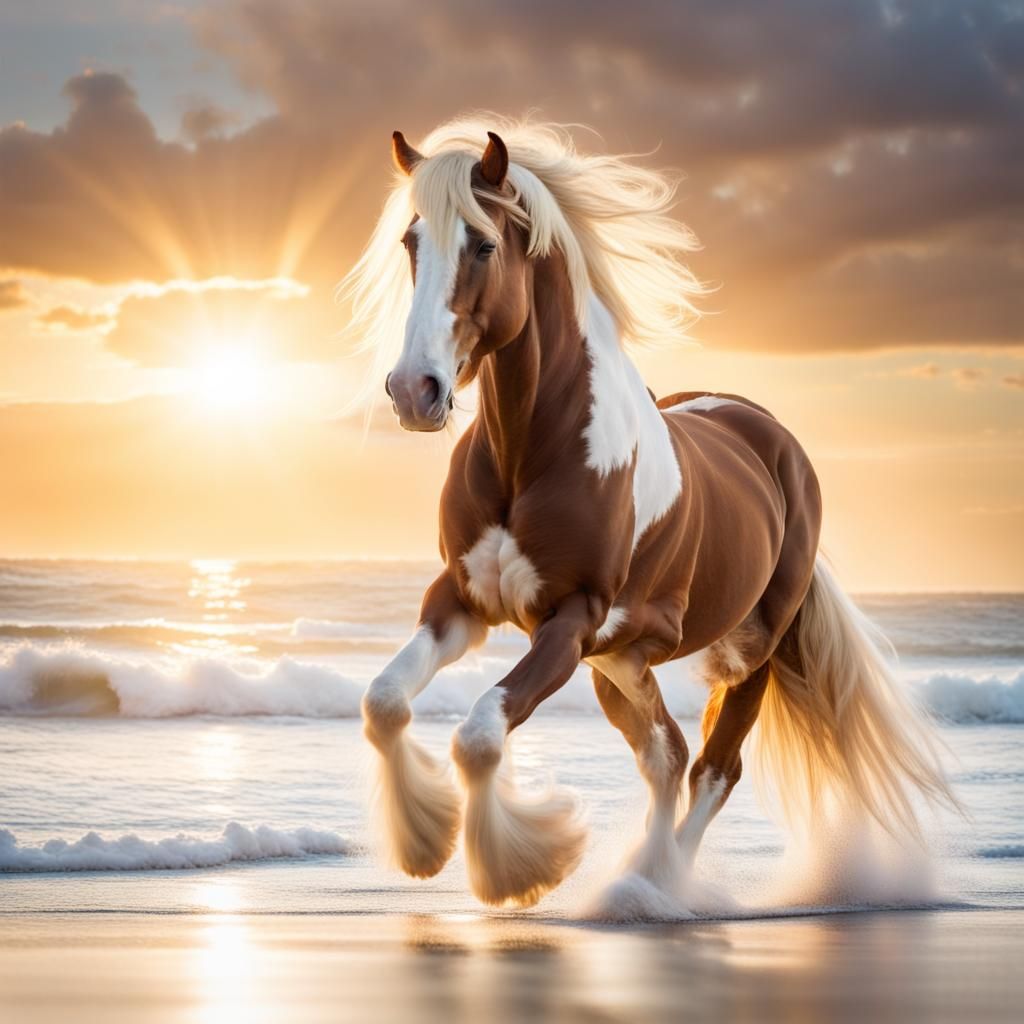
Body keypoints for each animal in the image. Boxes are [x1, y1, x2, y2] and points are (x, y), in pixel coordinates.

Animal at [342, 116, 955, 911]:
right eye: (411, 242)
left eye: (482, 244)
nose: (415, 391)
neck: (531, 452)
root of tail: (770, 435)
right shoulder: (461, 601)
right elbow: (384, 701)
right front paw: (426, 847)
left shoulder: (570, 618)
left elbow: (479, 733)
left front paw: (517, 870)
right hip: (623, 663)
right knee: (667, 753)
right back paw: (642, 883)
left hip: (744, 652)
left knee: (713, 767)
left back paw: (659, 888)